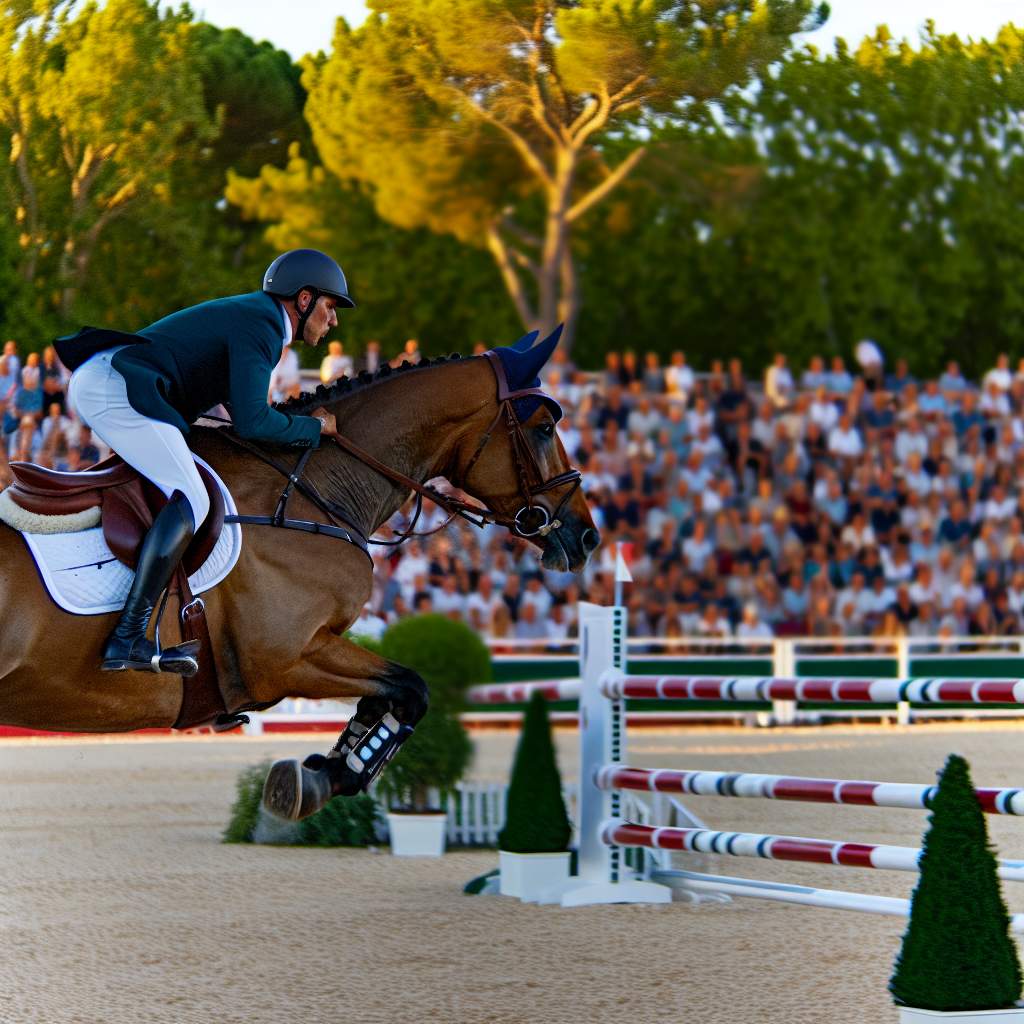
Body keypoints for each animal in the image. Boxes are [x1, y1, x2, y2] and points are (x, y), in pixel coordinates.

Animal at [0, 331, 598, 819]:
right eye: (545, 428)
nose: (587, 536)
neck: (308, 492)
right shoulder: (285, 657)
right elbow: (412, 689)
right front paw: (324, 781)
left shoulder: (309, 650)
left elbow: (394, 693)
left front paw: (320, 776)